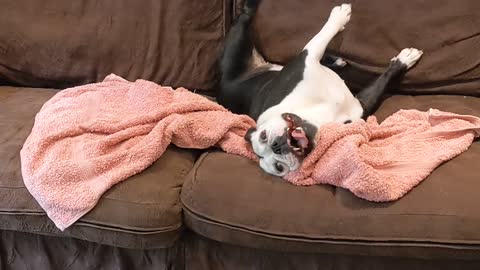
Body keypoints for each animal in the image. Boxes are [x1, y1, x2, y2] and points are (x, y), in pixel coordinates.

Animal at [218, 0, 424, 177]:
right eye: (279, 167)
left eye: (263, 136)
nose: (276, 146)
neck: (318, 115)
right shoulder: (360, 105)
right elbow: (380, 81)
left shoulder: (306, 59)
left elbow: (322, 35)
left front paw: (339, 16)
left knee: (246, 14)